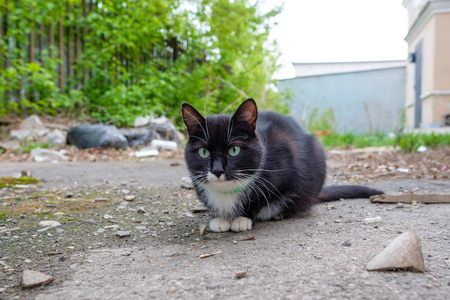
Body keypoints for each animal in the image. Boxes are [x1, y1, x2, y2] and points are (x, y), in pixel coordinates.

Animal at [181, 98, 382, 232]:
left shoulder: (283, 167)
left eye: (234, 150)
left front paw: (243, 218)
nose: (217, 170)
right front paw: (220, 218)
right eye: (203, 152)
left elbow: (261, 197)